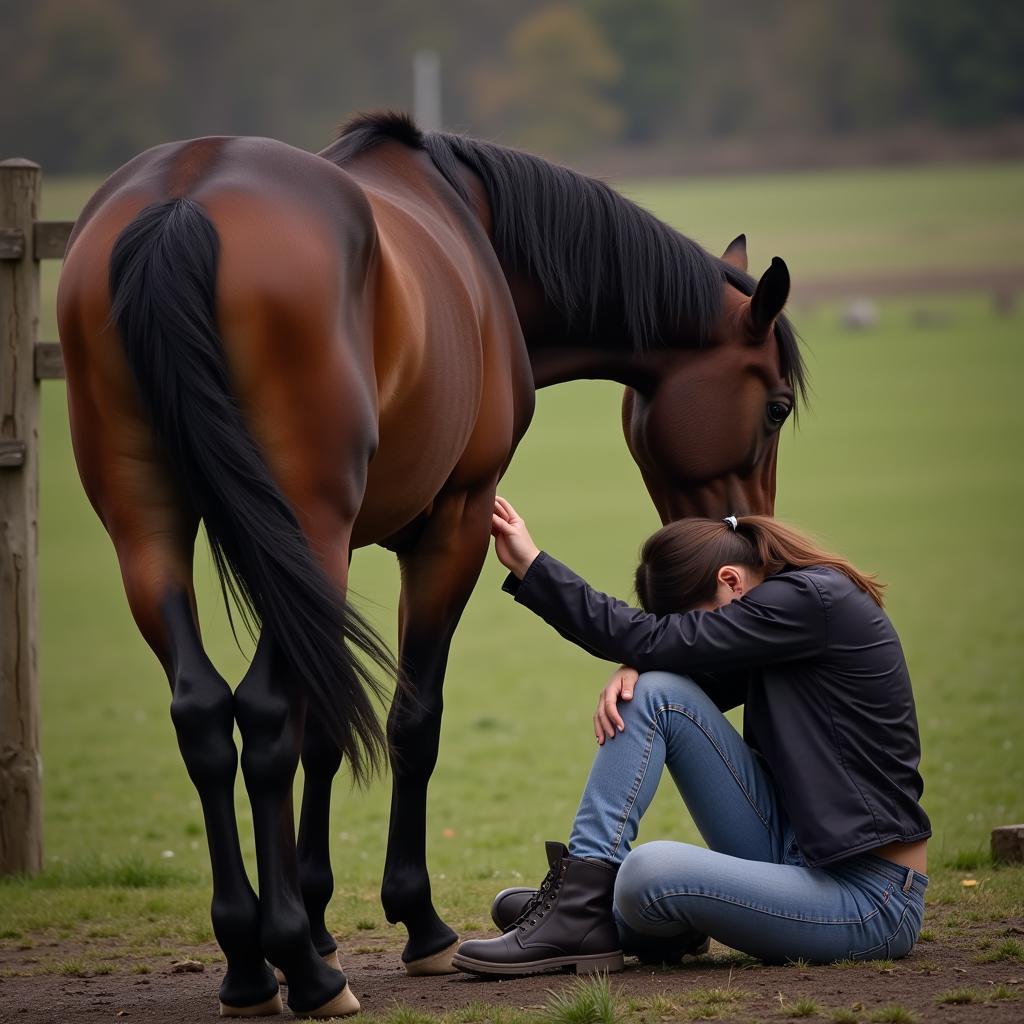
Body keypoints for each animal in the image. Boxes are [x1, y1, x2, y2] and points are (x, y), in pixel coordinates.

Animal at [58, 114, 806, 1015]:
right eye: (775, 407)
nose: (753, 539)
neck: (475, 231)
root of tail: (183, 200)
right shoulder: (452, 525)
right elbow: (410, 723)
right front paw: (412, 925)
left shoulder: (331, 559)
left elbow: (324, 732)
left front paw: (317, 920)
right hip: (304, 524)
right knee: (262, 716)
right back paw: (303, 971)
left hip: (150, 528)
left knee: (203, 714)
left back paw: (248, 962)